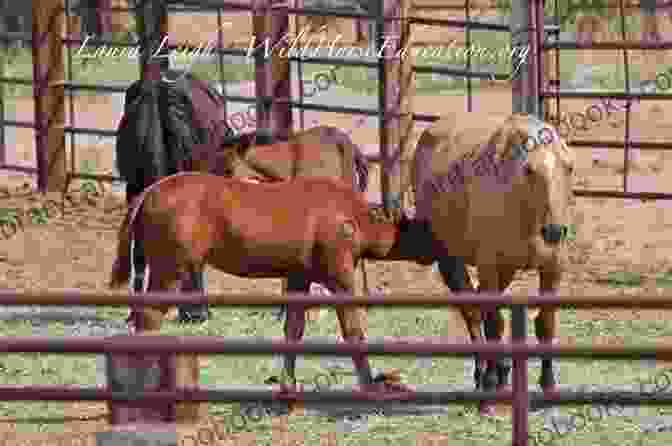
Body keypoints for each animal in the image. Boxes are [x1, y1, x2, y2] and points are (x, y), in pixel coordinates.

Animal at [110, 173, 426, 398]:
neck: (352, 217)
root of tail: (149, 192)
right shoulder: (339, 278)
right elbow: (353, 332)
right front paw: (370, 385)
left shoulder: (299, 278)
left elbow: (293, 330)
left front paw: (288, 385)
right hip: (170, 271)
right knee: (148, 317)